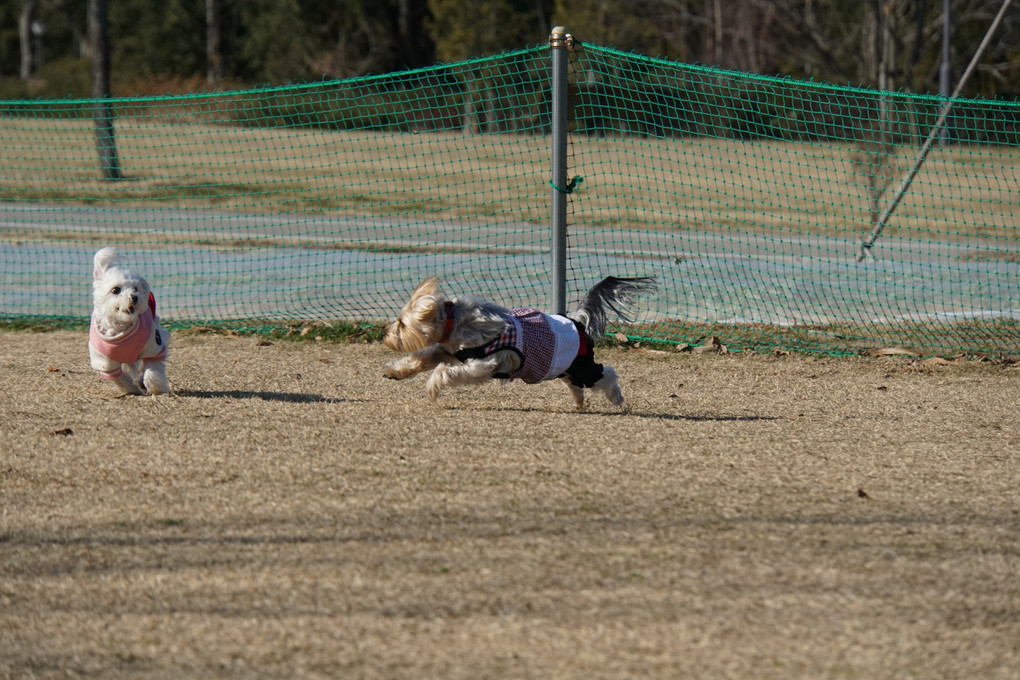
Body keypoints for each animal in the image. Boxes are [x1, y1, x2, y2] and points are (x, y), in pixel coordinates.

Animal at [88, 245, 170, 393]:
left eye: (135, 288)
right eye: (115, 290)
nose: (134, 297)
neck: (121, 327)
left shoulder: (153, 344)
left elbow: (151, 371)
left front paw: (155, 387)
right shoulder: (104, 361)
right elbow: (121, 379)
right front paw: (132, 389)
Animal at [381, 277, 652, 409]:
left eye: (401, 323)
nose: (385, 333)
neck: (455, 324)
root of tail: (577, 321)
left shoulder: (482, 364)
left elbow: (444, 372)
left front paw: (432, 388)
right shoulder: (447, 351)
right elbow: (421, 358)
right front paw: (394, 371)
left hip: (580, 365)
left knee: (606, 373)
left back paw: (616, 397)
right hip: (563, 367)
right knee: (576, 384)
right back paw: (579, 402)